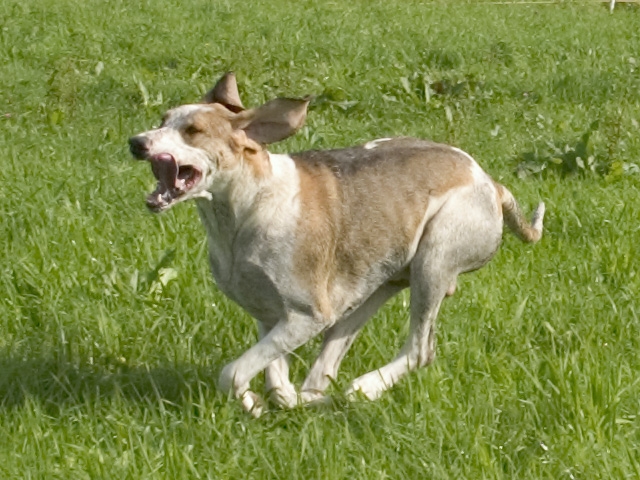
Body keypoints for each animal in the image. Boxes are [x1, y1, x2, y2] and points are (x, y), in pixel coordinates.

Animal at [129, 72, 544, 416]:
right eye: (163, 119)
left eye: (193, 130)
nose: (136, 143)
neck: (247, 207)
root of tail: (492, 184)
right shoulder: (269, 315)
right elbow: (271, 379)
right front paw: (261, 402)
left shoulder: (306, 316)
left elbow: (231, 373)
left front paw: (253, 401)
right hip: (378, 288)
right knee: (326, 370)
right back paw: (320, 397)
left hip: (433, 261)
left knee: (420, 350)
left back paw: (364, 388)